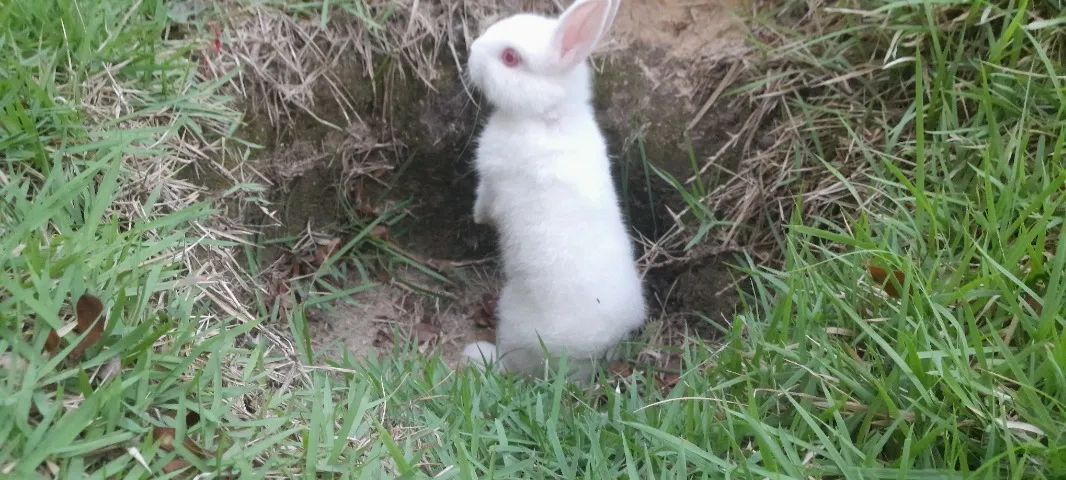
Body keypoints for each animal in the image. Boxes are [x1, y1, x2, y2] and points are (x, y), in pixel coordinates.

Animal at [461, 0, 645, 381]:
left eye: (510, 58)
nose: (472, 52)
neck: (547, 115)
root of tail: (589, 353)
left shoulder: (493, 177)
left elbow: (485, 200)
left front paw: (478, 218)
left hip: (513, 320)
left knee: (511, 366)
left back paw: (476, 354)